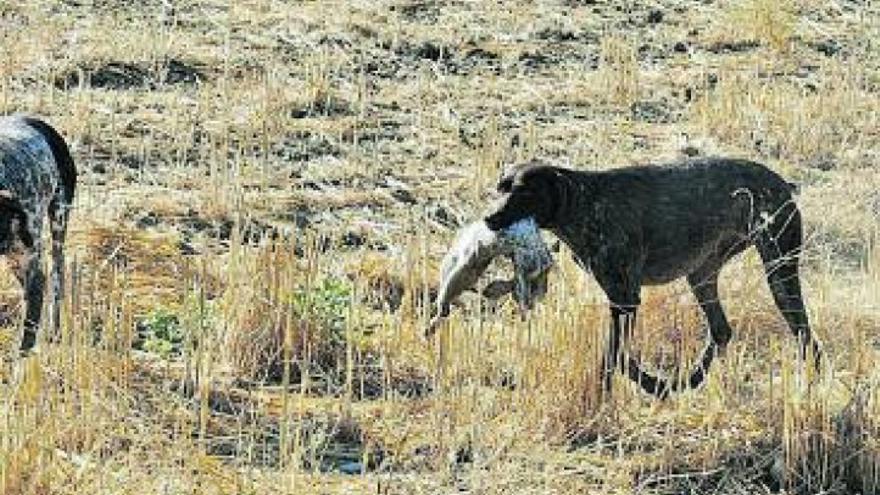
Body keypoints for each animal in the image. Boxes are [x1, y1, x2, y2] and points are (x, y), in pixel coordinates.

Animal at [484, 159, 820, 400]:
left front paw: (617, 393)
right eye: (501, 188)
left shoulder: (625, 300)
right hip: (701, 276)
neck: (583, 203)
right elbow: (621, 357)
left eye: (525, 191)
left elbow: (616, 357)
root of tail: (782, 183)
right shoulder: (622, 302)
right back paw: (689, 381)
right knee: (721, 331)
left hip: (780, 276)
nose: (489, 217)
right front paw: (655, 386)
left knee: (806, 338)